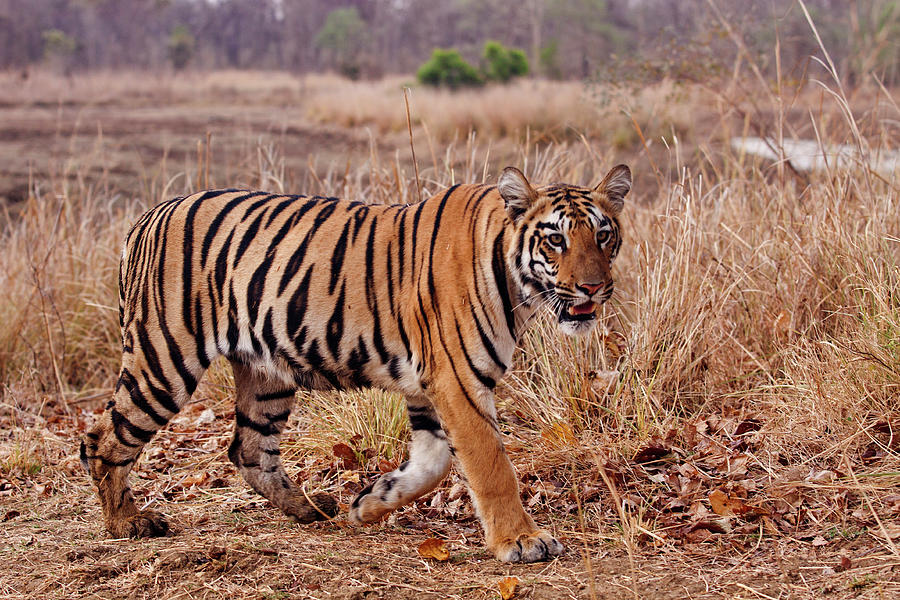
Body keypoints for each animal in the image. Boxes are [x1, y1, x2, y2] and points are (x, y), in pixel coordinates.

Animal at [82, 163, 632, 564]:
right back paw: (127, 522)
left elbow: (433, 463)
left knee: (248, 448)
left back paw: (309, 508)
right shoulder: (457, 380)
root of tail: (148, 215)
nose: (593, 287)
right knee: (103, 440)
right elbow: (491, 464)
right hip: (164, 357)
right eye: (556, 239)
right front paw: (522, 542)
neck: (517, 285)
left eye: (603, 236)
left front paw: (371, 502)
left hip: (265, 374)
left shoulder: (428, 388)